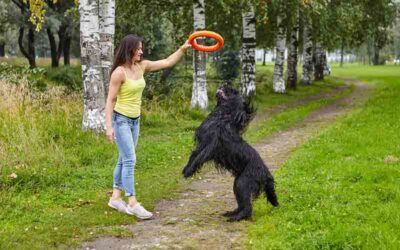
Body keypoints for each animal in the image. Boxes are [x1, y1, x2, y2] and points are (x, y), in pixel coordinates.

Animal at [182, 85, 278, 221]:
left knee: (247, 208)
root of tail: (266, 174)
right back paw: (232, 213)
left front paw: (189, 172)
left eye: (231, 90)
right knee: (242, 205)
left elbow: (199, 158)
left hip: (242, 183)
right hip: (237, 184)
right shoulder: (201, 145)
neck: (223, 116)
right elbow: (193, 156)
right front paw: (186, 169)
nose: (223, 84)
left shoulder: (211, 145)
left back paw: (235, 218)